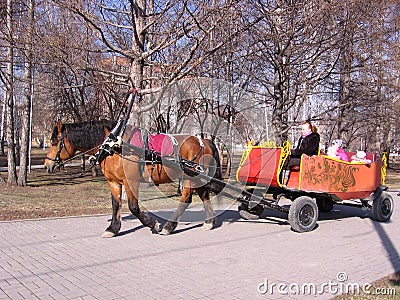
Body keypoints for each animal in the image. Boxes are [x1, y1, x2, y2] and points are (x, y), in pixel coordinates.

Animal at [45, 120, 223, 237]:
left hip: (189, 177)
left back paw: (169, 226)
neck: (114, 145)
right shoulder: (114, 182)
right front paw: (112, 228)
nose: (47, 165)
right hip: (197, 177)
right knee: (204, 195)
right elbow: (116, 205)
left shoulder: (130, 181)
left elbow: (133, 207)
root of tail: (204, 140)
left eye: (54, 142)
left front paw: (153, 224)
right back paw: (209, 222)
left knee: (186, 199)